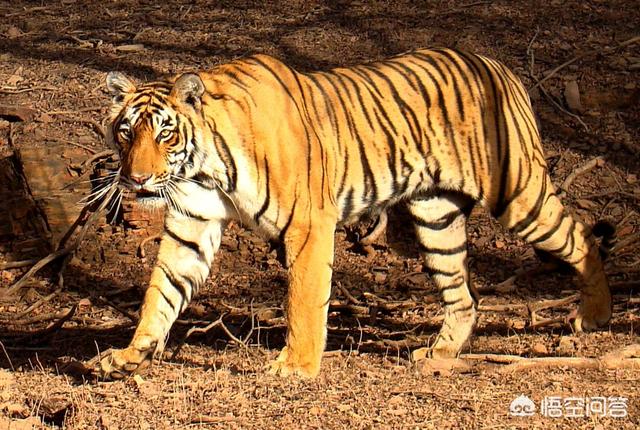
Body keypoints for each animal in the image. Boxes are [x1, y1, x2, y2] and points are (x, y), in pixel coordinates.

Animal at [97, 47, 612, 380]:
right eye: (126, 131)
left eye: (164, 133)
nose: (137, 179)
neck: (204, 168)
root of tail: (499, 66)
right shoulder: (192, 224)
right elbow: (160, 294)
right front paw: (129, 355)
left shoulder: (307, 224)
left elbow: (304, 300)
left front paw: (296, 367)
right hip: (437, 217)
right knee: (463, 296)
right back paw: (441, 353)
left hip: (517, 193)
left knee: (581, 238)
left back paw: (596, 316)